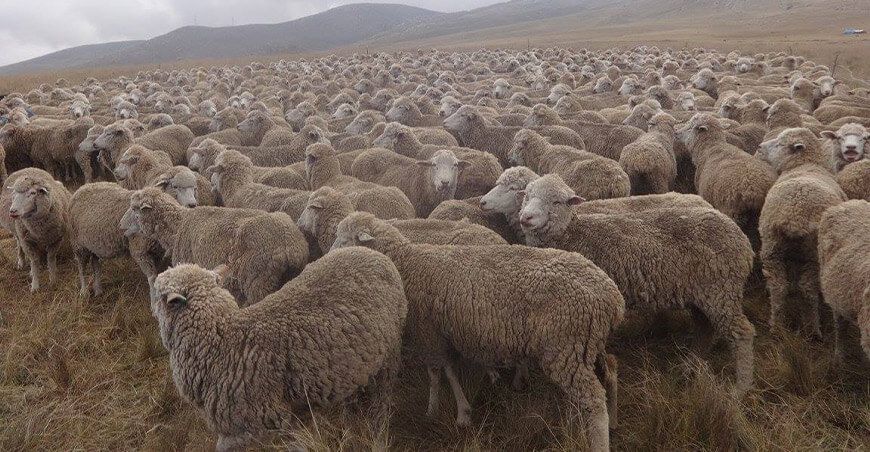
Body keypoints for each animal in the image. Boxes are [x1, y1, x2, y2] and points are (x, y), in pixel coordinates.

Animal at [149, 246, 407, 451]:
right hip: (353, 363)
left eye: (159, 295)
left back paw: (378, 438)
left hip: (391, 353)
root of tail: (374, 253)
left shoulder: (261, 423)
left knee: (382, 403)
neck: (222, 342)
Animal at [332, 211, 624, 450]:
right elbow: (449, 370)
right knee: (610, 370)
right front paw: (461, 411)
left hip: (565, 346)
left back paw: (599, 440)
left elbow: (437, 373)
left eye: (344, 239)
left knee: (593, 399)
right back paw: (613, 420)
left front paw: (438, 411)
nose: (327, 258)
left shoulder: (429, 333)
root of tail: (611, 296)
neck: (406, 262)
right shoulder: (442, 332)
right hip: (588, 343)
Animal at [518, 174, 756, 393]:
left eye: (556, 202)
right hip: (702, 294)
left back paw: (740, 388)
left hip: (721, 290)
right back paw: (689, 366)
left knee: (742, 333)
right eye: (527, 196)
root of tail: (742, 239)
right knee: (704, 329)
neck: (573, 232)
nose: (526, 217)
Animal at [756, 128, 847, 337]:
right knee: (807, 289)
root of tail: (794, 216)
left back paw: (777, 326)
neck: (805, 165)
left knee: (779, 287)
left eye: (780, 144)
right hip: (813, 253)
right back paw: (813, 330)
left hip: (772, 247)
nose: (760, 147)